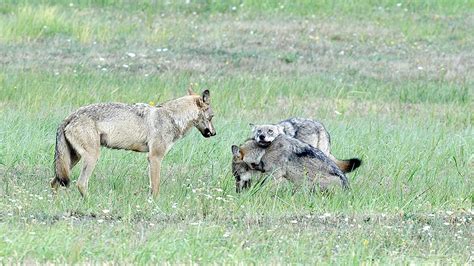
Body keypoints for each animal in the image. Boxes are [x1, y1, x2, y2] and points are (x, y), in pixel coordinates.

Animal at [51, 88, 215, 196]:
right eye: (212, 116)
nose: (214, 133)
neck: (171, 117)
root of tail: (71, 116)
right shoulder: (155, 157)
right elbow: (155, 187)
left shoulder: (151, 159)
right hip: (91, 157)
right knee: (80, 184)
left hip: (72, 160)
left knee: (55, 182)